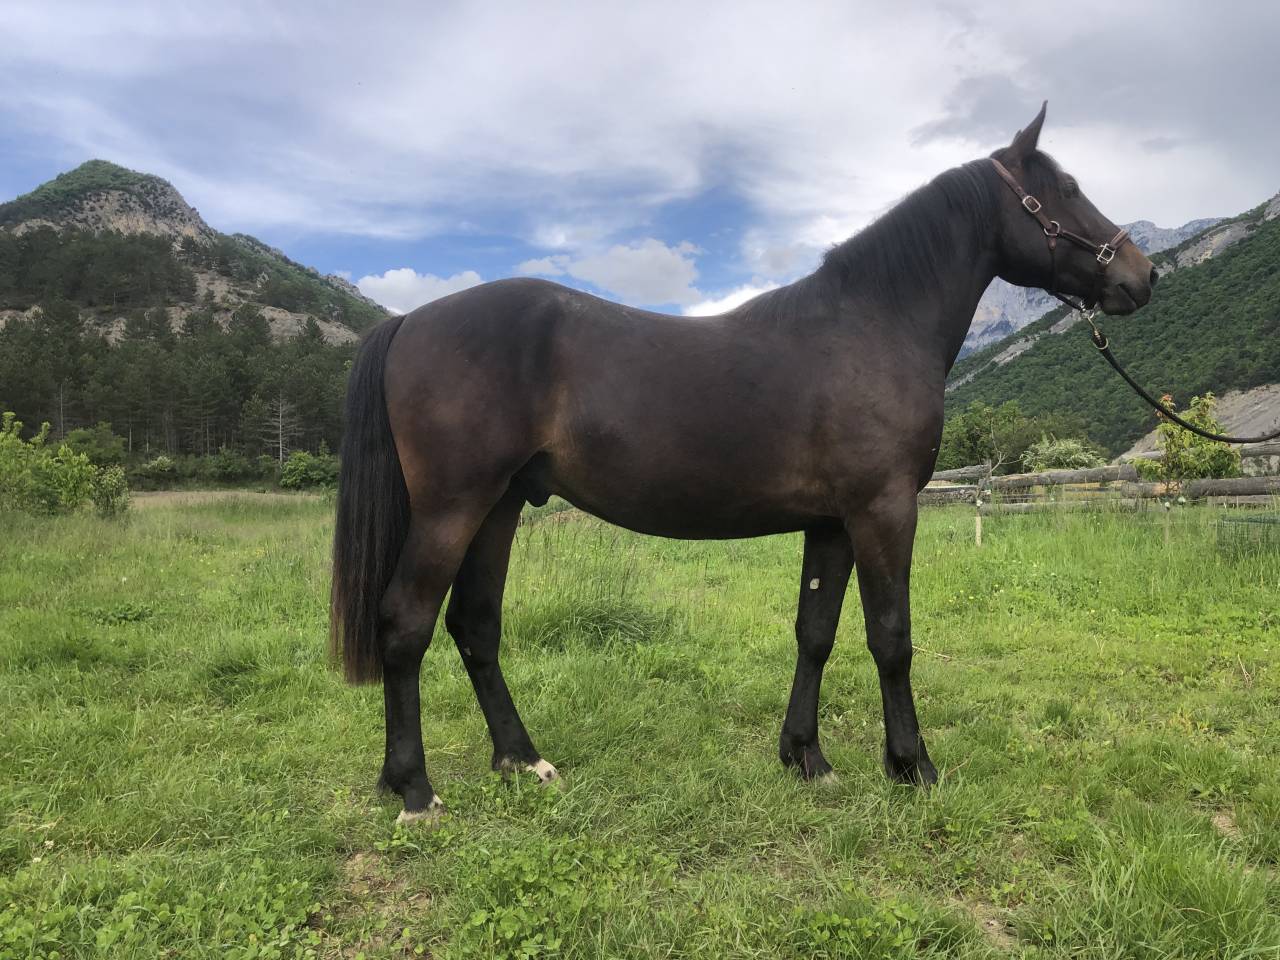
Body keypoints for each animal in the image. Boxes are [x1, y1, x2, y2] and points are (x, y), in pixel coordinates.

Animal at [330, 103, 1157, 823]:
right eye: (1068, 189)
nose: (1141, 277)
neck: (873, 326)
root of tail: (411, 320)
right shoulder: (884, 510)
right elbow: (891, 637)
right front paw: (912, 766)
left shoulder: (831, 522)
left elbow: (815, 630)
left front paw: (806, 758)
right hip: (453, 507)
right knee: (405, 623)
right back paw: (414, 790)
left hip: (500, 505)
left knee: (475, 623)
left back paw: (521, 760)